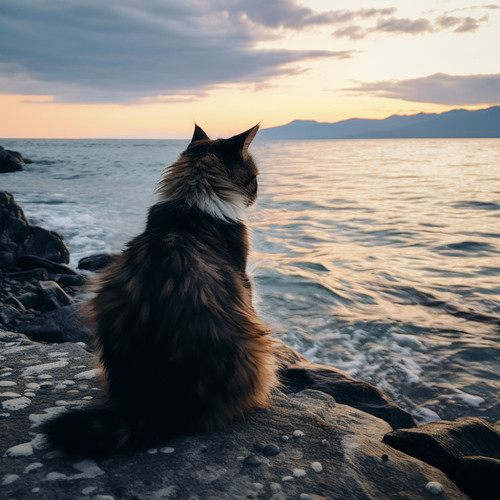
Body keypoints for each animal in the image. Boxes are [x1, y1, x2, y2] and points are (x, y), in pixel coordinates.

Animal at [45, 123, 280, 456]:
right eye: (254, 177)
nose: (257, 193)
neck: (192, 203)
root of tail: (157, 406)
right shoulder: (244, 278)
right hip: (256, 346)